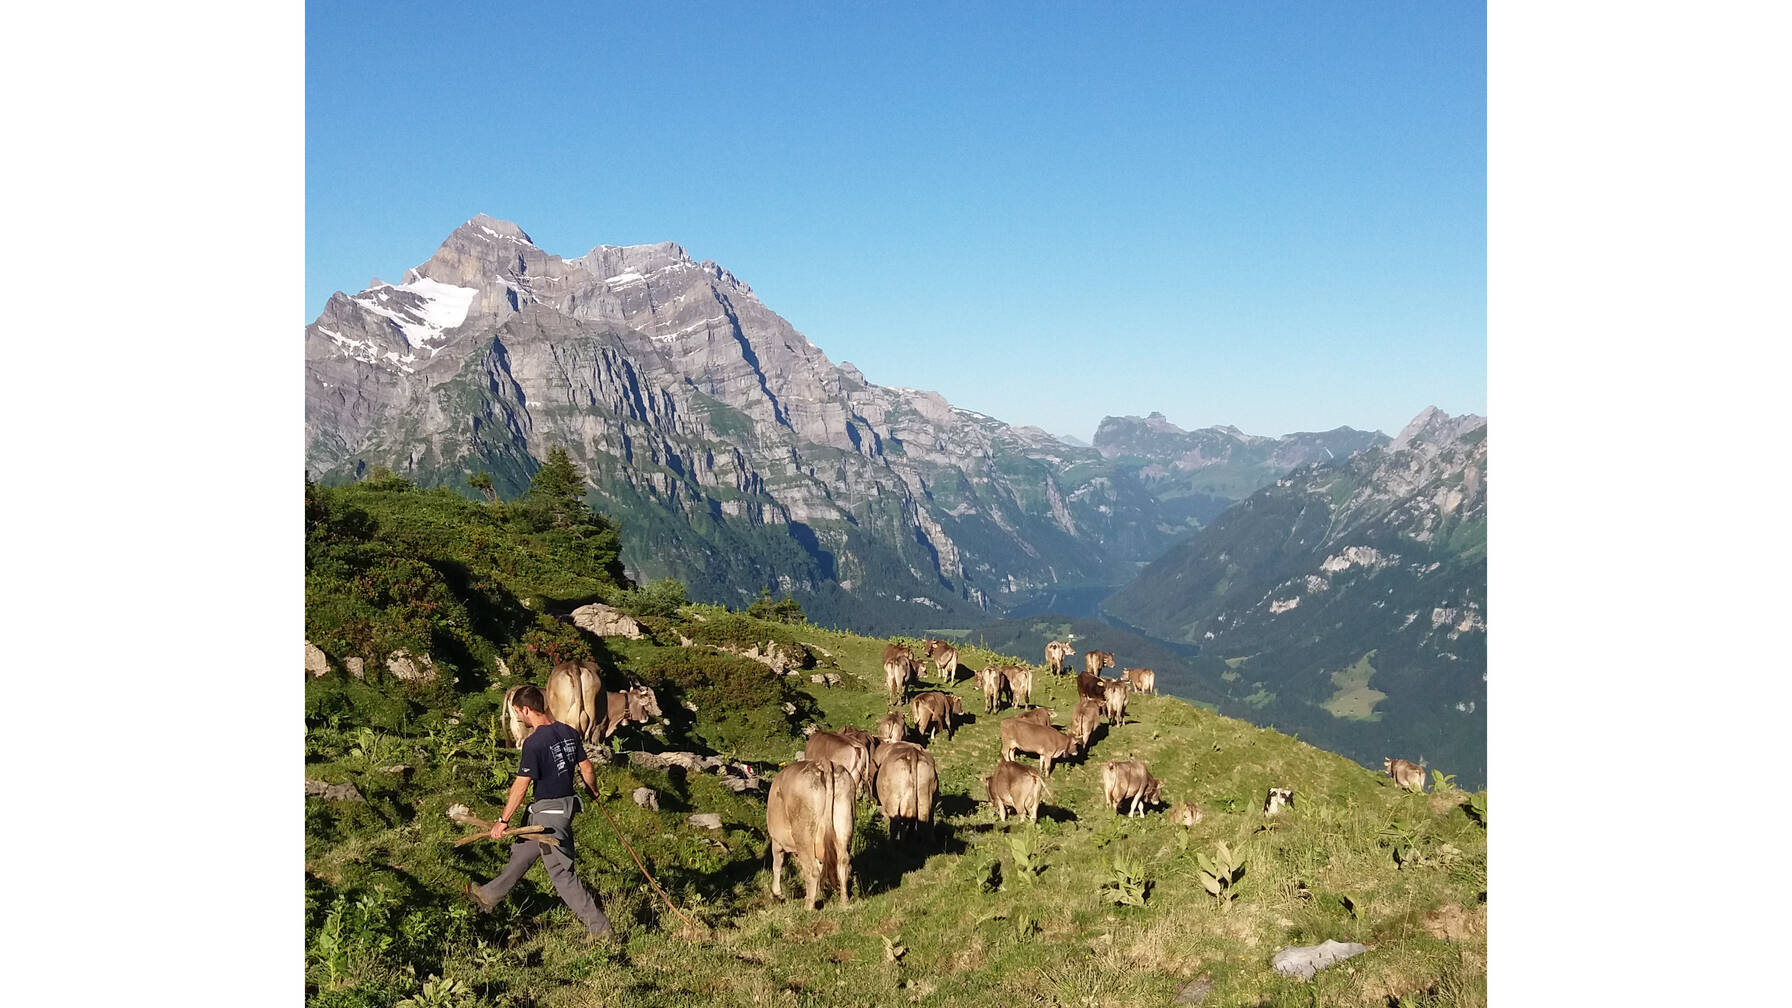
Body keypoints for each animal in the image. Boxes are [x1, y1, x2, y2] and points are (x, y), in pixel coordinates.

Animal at [766, 760, 855, 909]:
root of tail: (824, 763)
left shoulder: (776, 840)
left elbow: (777, 864)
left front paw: (776, 893)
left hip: (803, 834)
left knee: (812, 871)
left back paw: (808, 907)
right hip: (843, 825)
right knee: (843, 863)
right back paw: (843, 902)